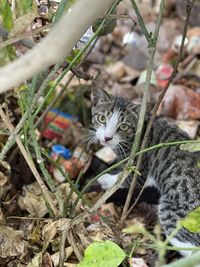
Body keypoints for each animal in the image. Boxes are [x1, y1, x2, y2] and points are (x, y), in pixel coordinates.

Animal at [90, 86, 200, 258]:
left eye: (124, 126)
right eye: (102, 118)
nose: (107, 138)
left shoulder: (140, 165)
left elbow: (126, 179)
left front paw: (107, 180)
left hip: (174, 211)